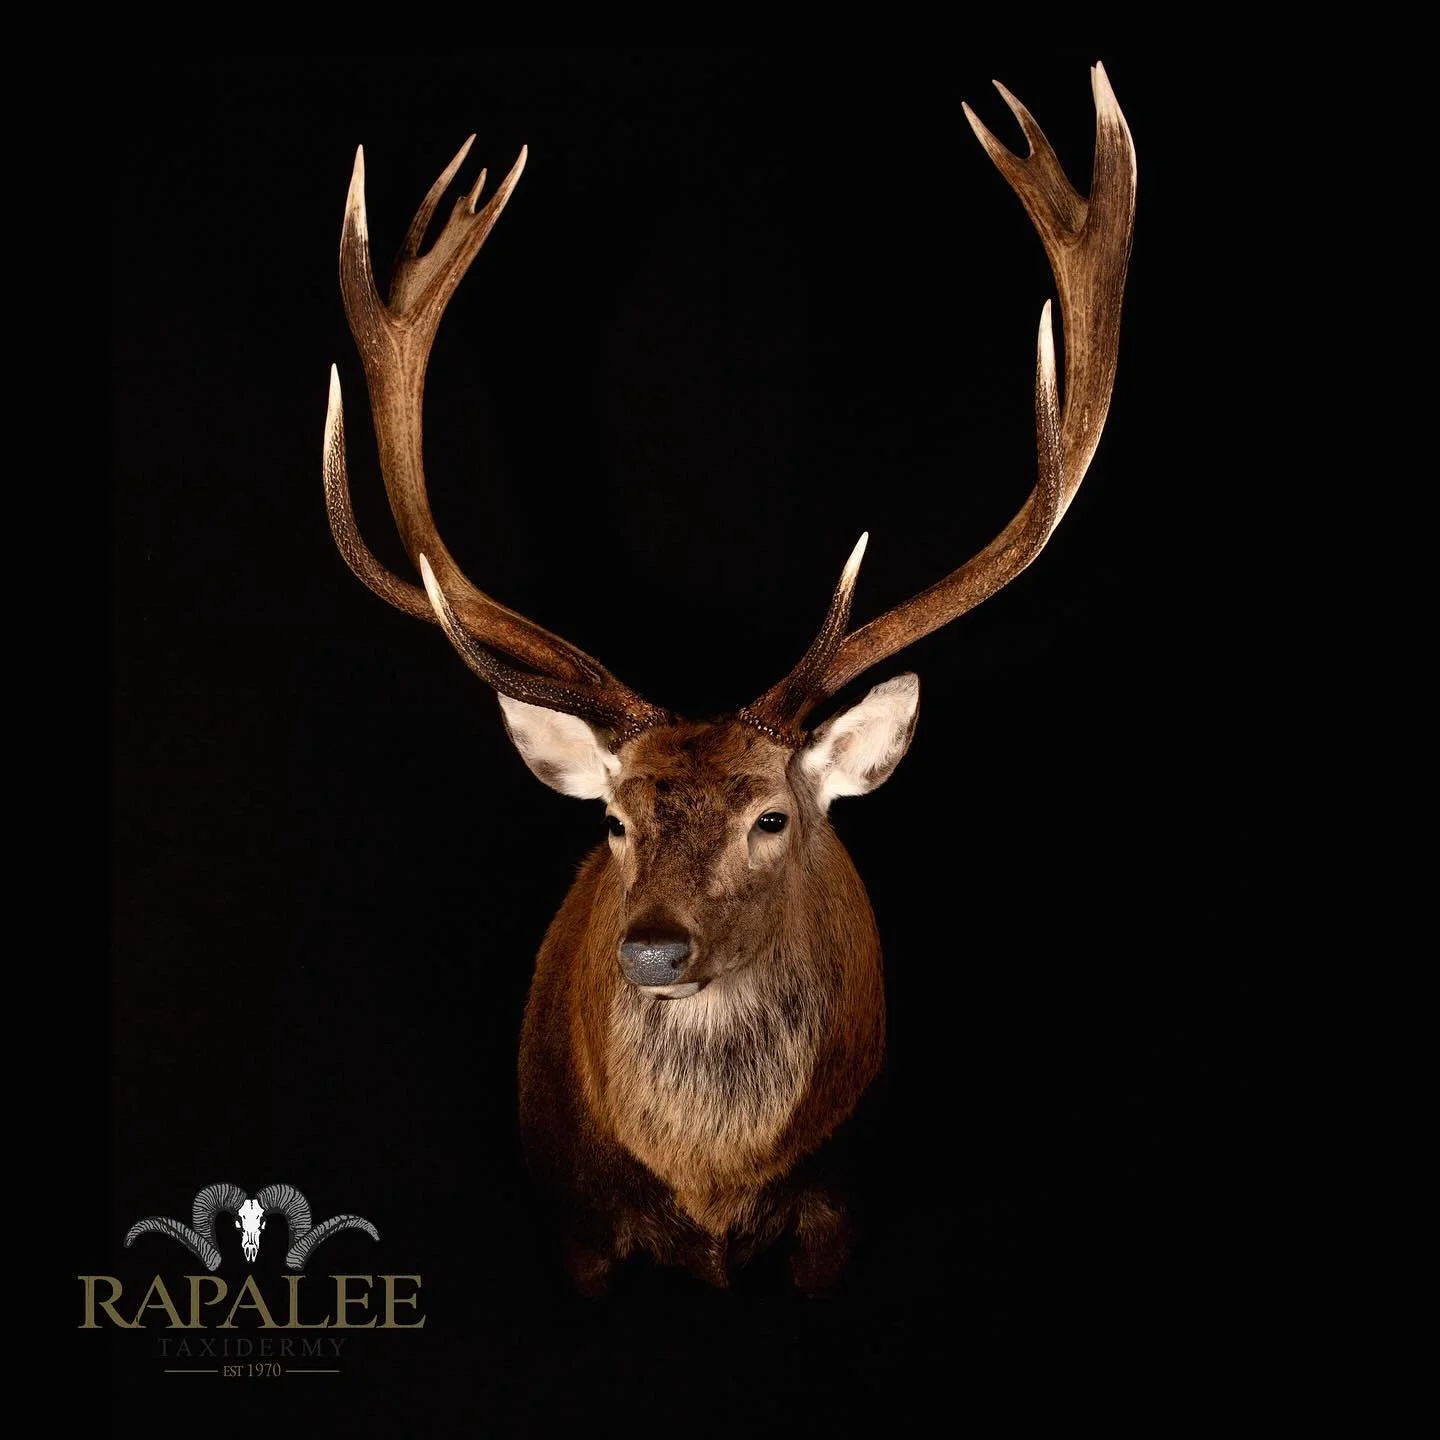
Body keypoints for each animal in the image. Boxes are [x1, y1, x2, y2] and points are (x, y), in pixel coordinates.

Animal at [321, 63, 1136, 1295]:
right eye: (612, 821)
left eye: (771, 818)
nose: (653, 946)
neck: (707, 1192)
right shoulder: (572, 1221)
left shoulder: (841, 1208)